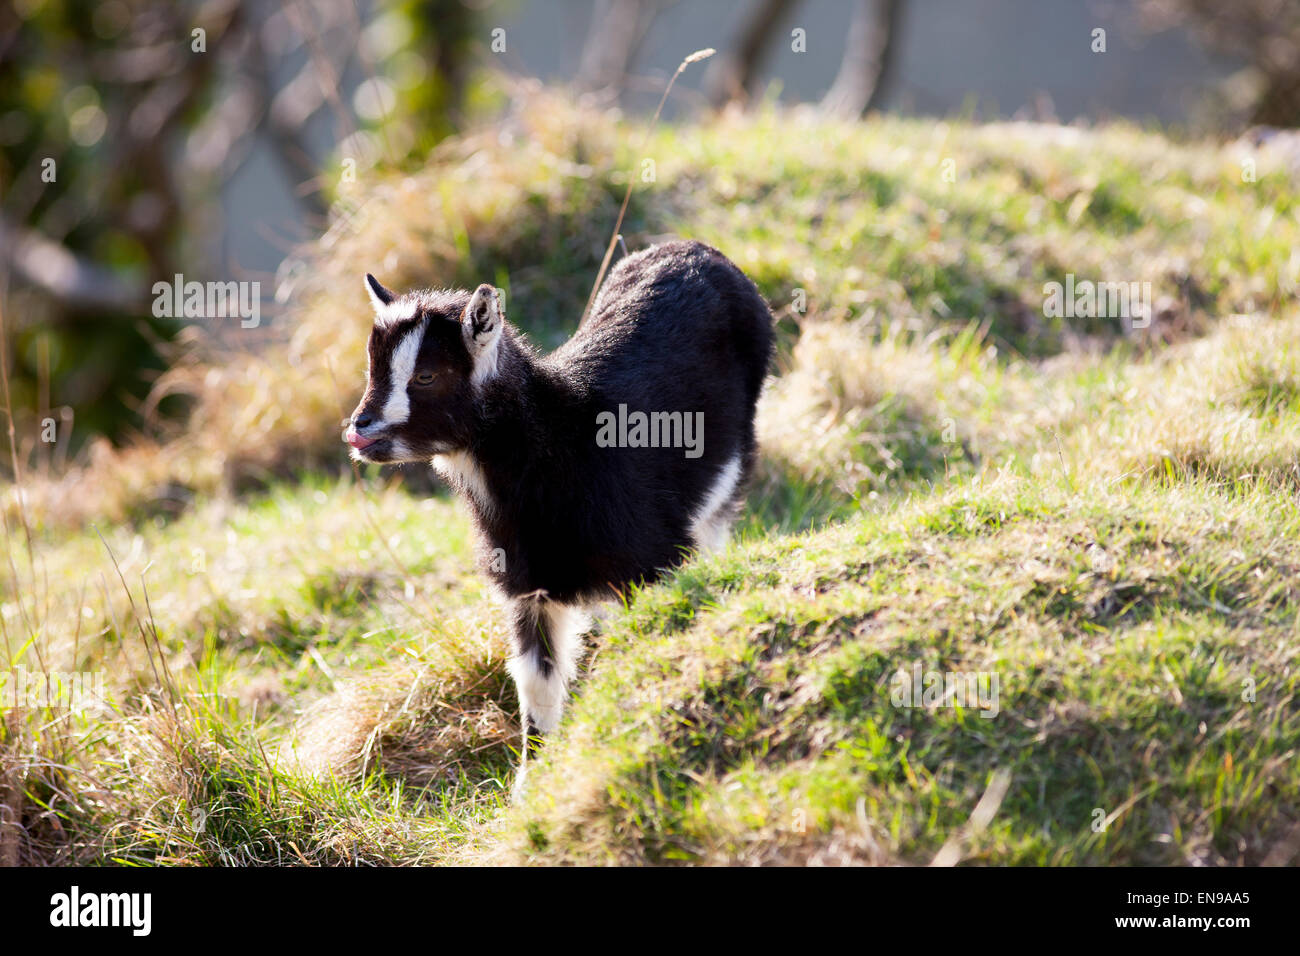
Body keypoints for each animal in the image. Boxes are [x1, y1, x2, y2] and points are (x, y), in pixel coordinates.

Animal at [346, 239, 774, 755]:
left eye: (427, 375)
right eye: (372, 366)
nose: (359, 429)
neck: (561, 440)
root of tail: (693, 248)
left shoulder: (652, 559)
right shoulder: (528, 586)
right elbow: (537, 684)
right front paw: (535, 773)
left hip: (730, 470)